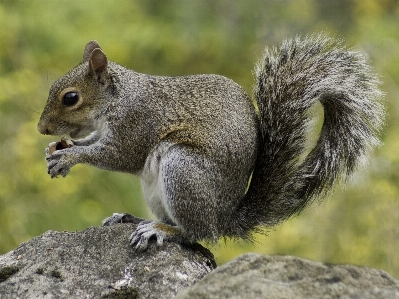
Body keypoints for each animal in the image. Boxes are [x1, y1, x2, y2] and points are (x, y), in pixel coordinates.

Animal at [39, 34, 386, 251]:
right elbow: (94, 141)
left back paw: (160, 230)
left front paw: (68, 157)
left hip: (183, 170)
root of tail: (224, 218)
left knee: (197, 233)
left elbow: (118, 156)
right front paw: (59, 148)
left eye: (70, 98)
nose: (42, 129)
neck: (118, 97)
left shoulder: (137, 124)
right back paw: (133, 219)